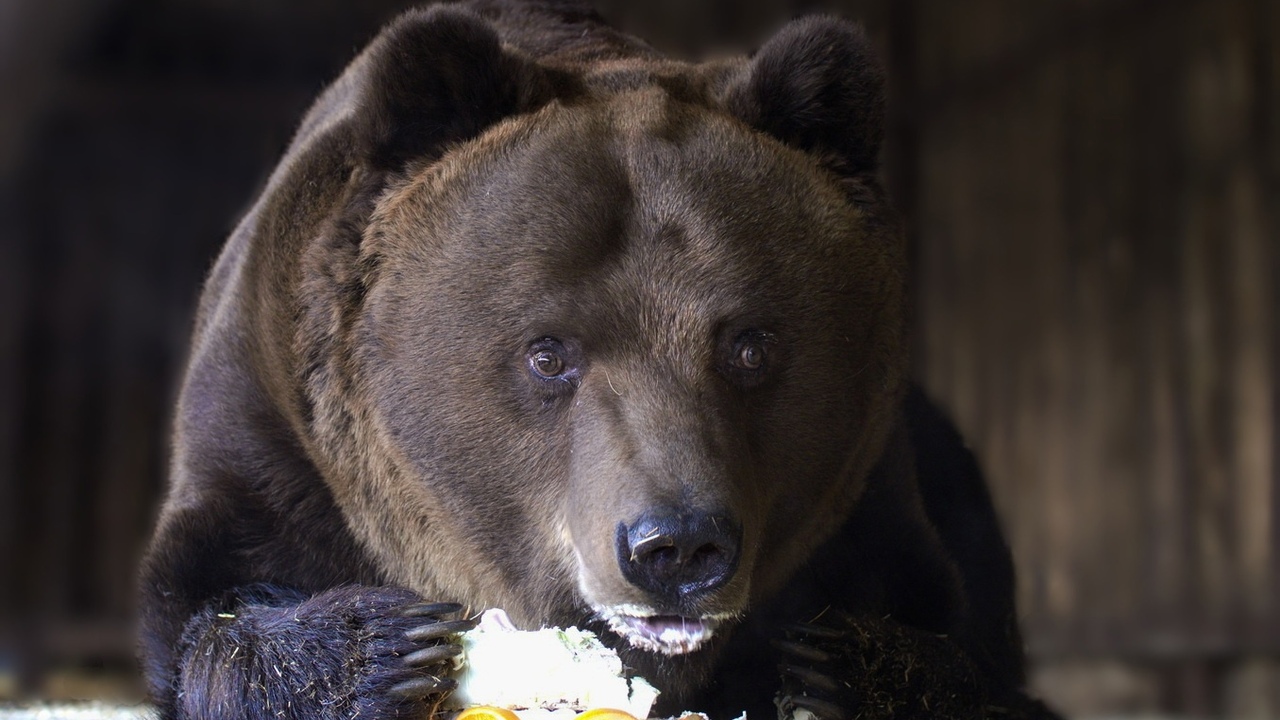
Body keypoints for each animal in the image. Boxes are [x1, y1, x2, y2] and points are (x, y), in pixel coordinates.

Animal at [137, 1, 1059, 717]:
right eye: (549, 354)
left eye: (750, 344)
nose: (677, 546)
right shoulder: (268, 430)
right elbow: (205, 602)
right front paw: (384, 649)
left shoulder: (873, 480)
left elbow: (946, 626)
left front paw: (834, 663)